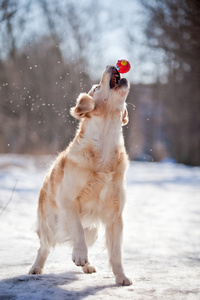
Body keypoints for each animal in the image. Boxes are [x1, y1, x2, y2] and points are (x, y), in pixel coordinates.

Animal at [28, 65, 131, 286]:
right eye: (96, 87)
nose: (111, 65)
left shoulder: (115, 214)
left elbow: (116, 252)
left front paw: (121, 277)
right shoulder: (68, 200)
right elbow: (76, 229)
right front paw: (80, 255)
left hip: (93, 230)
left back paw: (88, 266)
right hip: (49, 223)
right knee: (45, 246)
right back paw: (36, 267)